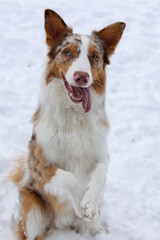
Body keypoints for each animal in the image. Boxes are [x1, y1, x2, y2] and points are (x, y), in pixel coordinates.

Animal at [10, 9, 125, 240]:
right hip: (33, 213)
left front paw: (90, 203)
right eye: (67, 52)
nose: (81, 76)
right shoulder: (40, 167)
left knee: (90, 227)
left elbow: (101, 171)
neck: (74, 115)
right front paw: (81, 199)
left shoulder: (101, 153)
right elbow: (68, 176)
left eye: (94, 56)